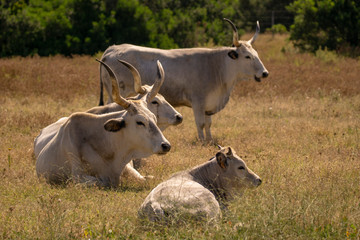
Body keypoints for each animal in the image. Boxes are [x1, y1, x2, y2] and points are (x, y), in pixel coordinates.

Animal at [34, 59, 180, 182]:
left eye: (154, 118)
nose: (166, 145)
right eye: (139, 122)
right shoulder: (78, 177)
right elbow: (99, 182)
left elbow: (148, 179)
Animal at [97, 20, 268, 142]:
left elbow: (209, 123)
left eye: (256, 54)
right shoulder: (198, 103)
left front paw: (210, 140)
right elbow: (201, 123)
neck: (217, 66)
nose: (265, 73)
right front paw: (202, 142)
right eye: (247, 56)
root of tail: (112, 49)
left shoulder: (208, 105)